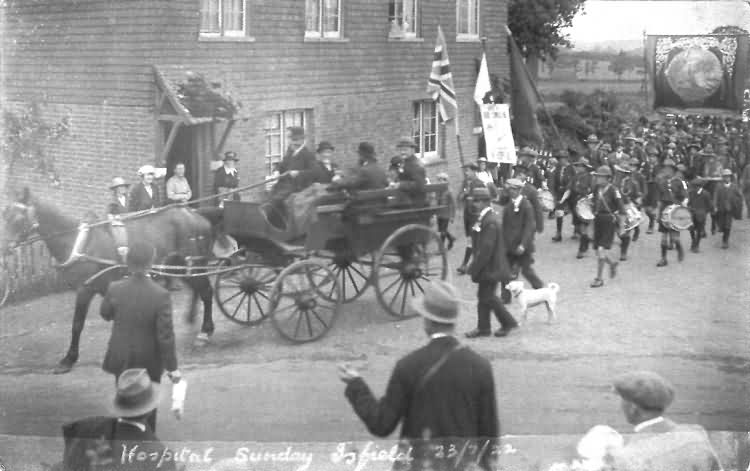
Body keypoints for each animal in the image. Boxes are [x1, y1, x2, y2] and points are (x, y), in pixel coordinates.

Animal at [2, 188, 219, 376]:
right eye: (4, 214)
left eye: (19, 218)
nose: (4, 248)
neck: (79, 243)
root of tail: (196, 215)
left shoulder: (84, 289)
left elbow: (77, 324)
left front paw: (68, 359)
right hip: (179, 266)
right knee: (197, 290)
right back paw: (192, 319)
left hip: (193, 263)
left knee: (207, 292)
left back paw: (205, 332)